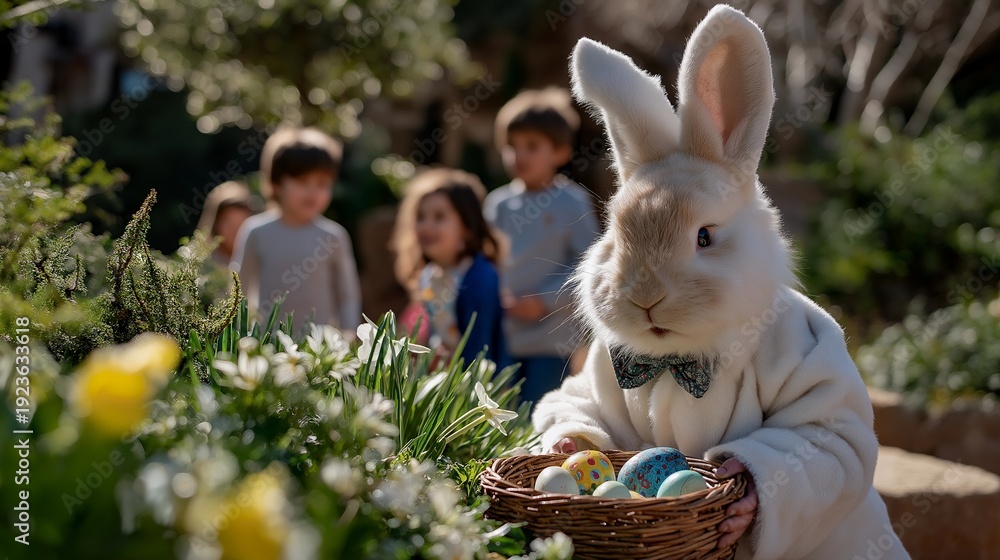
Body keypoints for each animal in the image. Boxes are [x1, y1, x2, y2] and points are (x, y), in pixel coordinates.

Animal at [531, 5, 910, 560]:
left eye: (704, 237)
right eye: (615, 237)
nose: (645, 298)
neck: (678, 361)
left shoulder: (813, 384)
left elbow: (823, 441)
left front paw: (741, 498)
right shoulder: (598, 375)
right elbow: (577, 406)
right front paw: (569, 449)